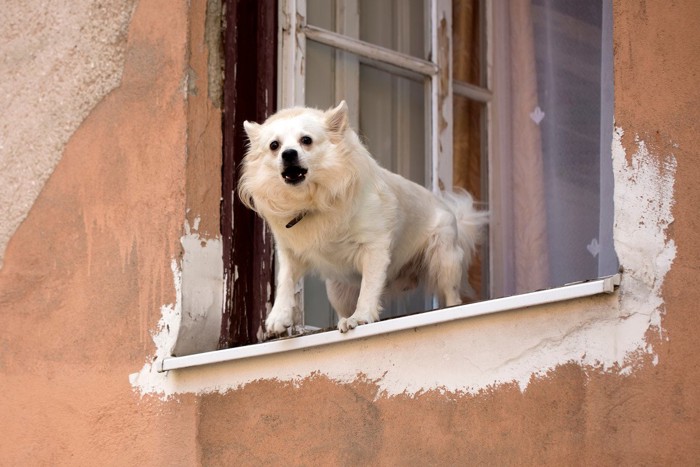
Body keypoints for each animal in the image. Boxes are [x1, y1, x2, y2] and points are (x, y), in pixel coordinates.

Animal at [239, 102, 486, 336]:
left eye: (306, 140)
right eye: (274, 146)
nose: (288, 153)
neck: (311, 201)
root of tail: (448, 209)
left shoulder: (374, 248)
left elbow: (369, 287)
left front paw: (361, 317)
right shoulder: (290, 253)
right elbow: (285, 282)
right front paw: (278, 317)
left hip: (444, 259)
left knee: (452, 296)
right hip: (337, 290)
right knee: (341, 308)